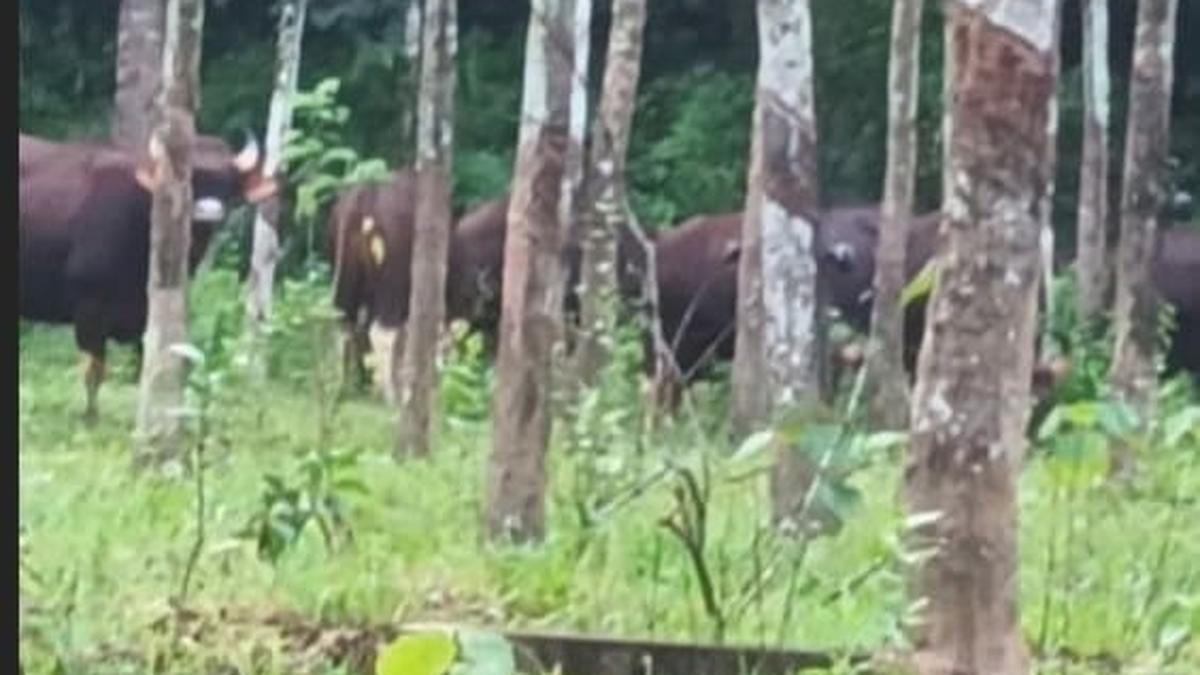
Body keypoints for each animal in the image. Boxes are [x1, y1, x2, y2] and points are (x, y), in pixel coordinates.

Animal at [21, 130, 276, 420]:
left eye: (227, 180)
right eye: (188, 178)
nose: (208, 212)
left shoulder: (147, 313)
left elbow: (146, 369)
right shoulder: (88, 307)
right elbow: (93, 370)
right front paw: (90, 417)